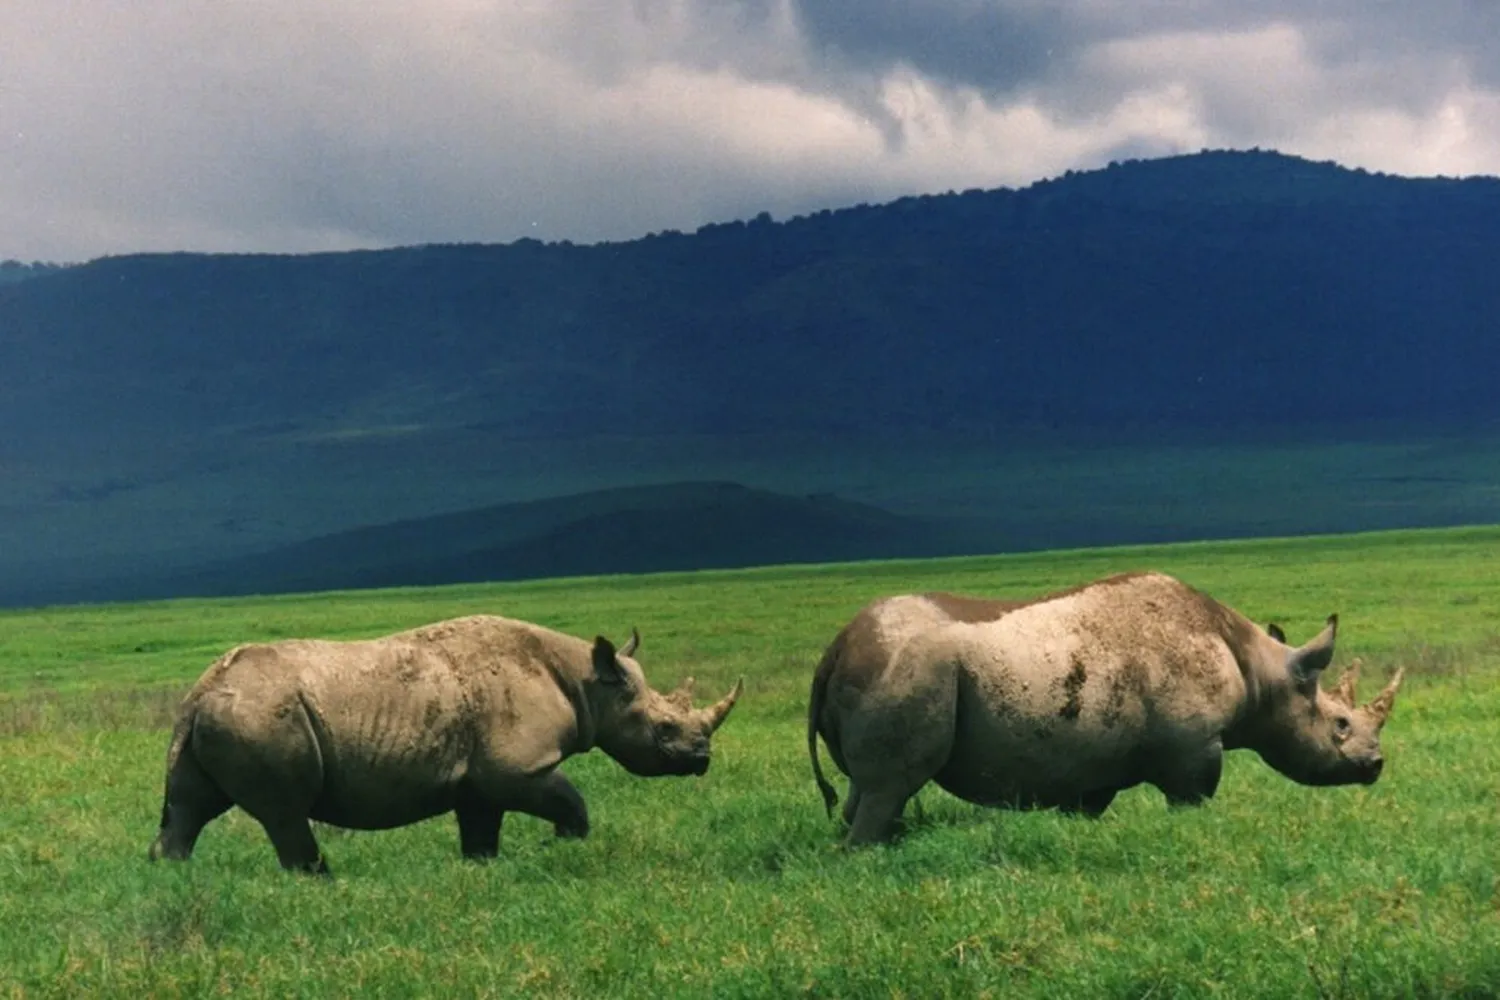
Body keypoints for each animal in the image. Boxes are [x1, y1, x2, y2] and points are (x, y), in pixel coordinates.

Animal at [148, 615, 742, 873]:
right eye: (664, 730)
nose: (702, 760)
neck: (587, 681)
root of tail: (198, 693)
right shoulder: (518, 767)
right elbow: (571, 802)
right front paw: (559, 847)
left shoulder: (479, 779)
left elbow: (480, 830)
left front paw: (484, 869)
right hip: (261, 715)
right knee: (285, 813)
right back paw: (320, 881)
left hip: (222, 716)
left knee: (189, 807)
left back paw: (173, 876)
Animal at [807, 571, 1405, 846]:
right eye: (1340, 725)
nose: (1376, 766)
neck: (1264, 672)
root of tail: (836, 647)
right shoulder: (1192, 748)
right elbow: (1192, 799)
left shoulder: (1089, 761)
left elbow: (1085, 805)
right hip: (908, 667)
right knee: (889, 787)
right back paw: (869, 851)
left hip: (889, 666)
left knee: (868, 789)